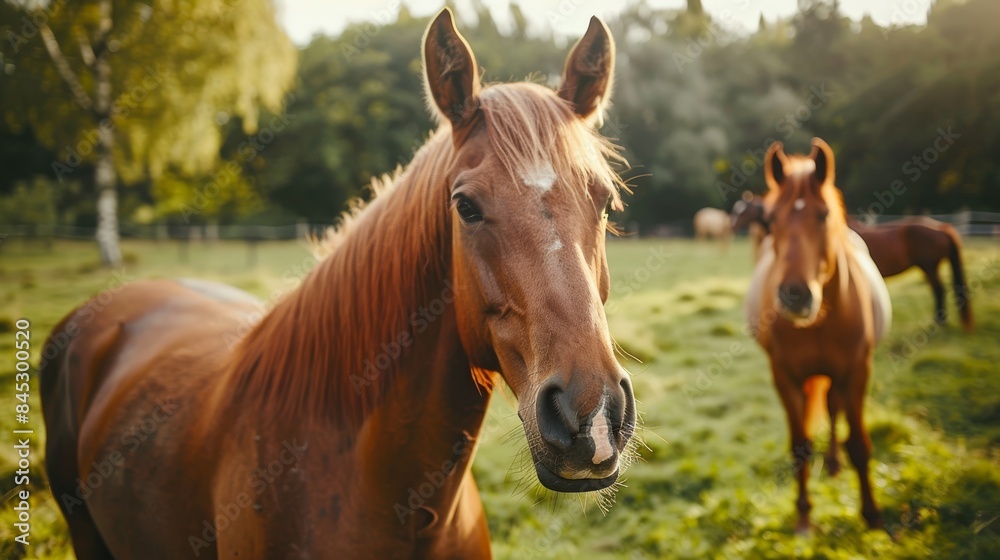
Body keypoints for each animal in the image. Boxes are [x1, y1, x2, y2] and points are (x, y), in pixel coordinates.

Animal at [732, 194, 973, 331]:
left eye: (744, 209)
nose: (732, 225)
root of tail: (942, 227)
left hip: (929, 267)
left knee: (939, 290)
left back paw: (939, 322)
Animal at [745, 138, 891, 534]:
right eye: (771, 220)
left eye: (823, 215)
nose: (794, 295)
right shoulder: (785, 378)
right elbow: (800, 447)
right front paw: (803, 516)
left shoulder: (856, 373)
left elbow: (859, 444)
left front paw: (872, 515)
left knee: (835, 409)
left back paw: (837, 463)